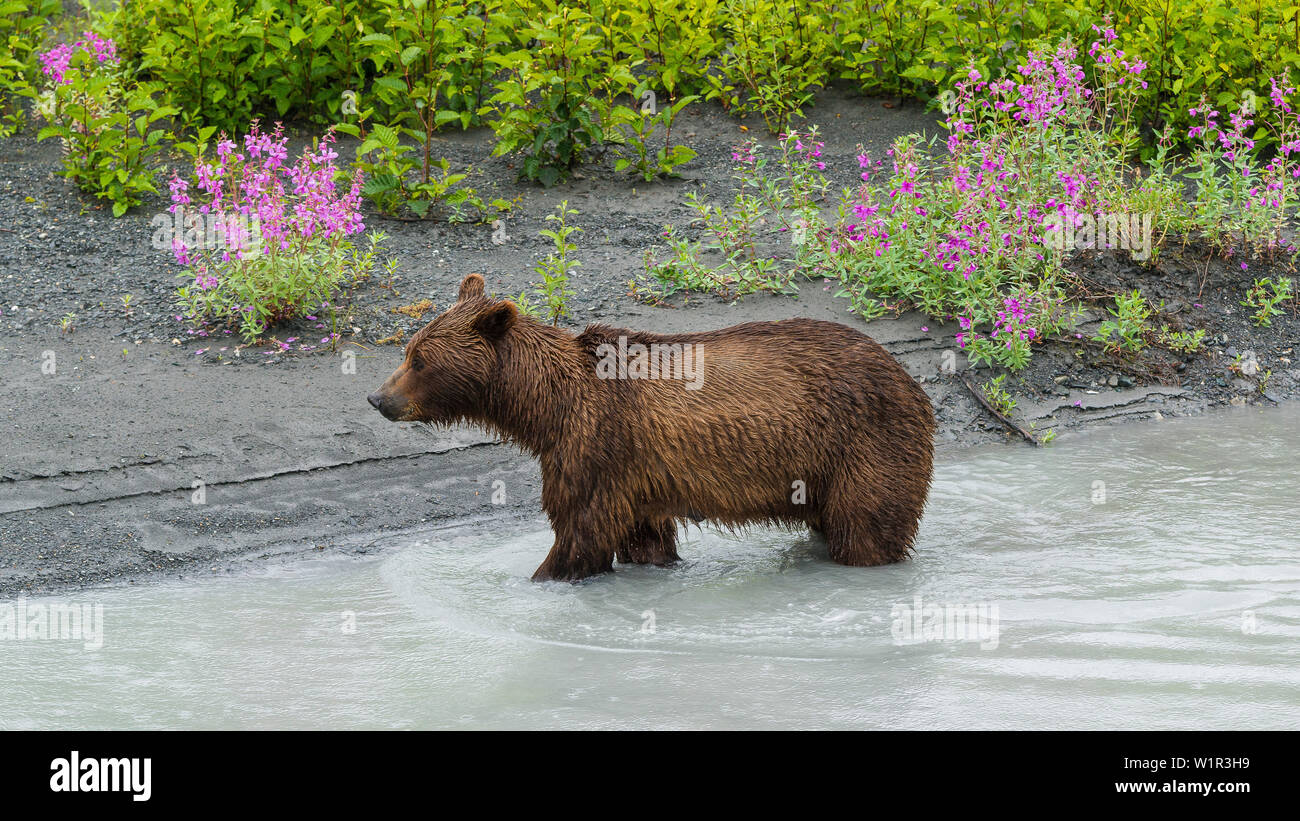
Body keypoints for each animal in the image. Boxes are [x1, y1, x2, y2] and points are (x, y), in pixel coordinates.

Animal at [369, 272, 935, 579]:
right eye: (409, 349)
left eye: (420, 360)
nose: (378, 398)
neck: (546, 408)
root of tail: (909, 379)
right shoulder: (636, 478)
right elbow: (643, 539)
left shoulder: (597, 443)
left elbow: (579, 534)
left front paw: (541, 576)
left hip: (865, 444)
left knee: (866, 528)